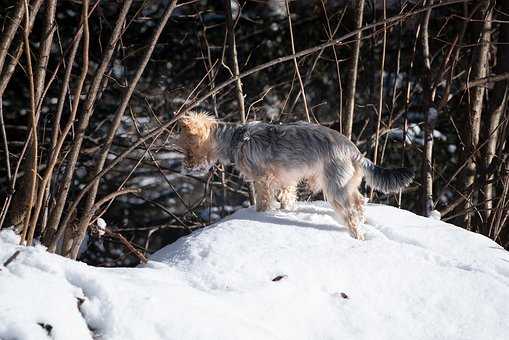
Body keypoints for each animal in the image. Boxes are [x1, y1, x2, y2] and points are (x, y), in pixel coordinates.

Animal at [178, 111, 412, 239]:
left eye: (189, 149)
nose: (186, 165)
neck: (235, 138)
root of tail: (352, 150)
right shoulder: (286, 179)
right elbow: (287, 197)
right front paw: (287, 210)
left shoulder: (263, 179)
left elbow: (264, 200)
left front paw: (261, 214)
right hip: (347, 183)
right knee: (361, 201)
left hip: (334, 186)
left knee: (350, 212)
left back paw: (356, 235)